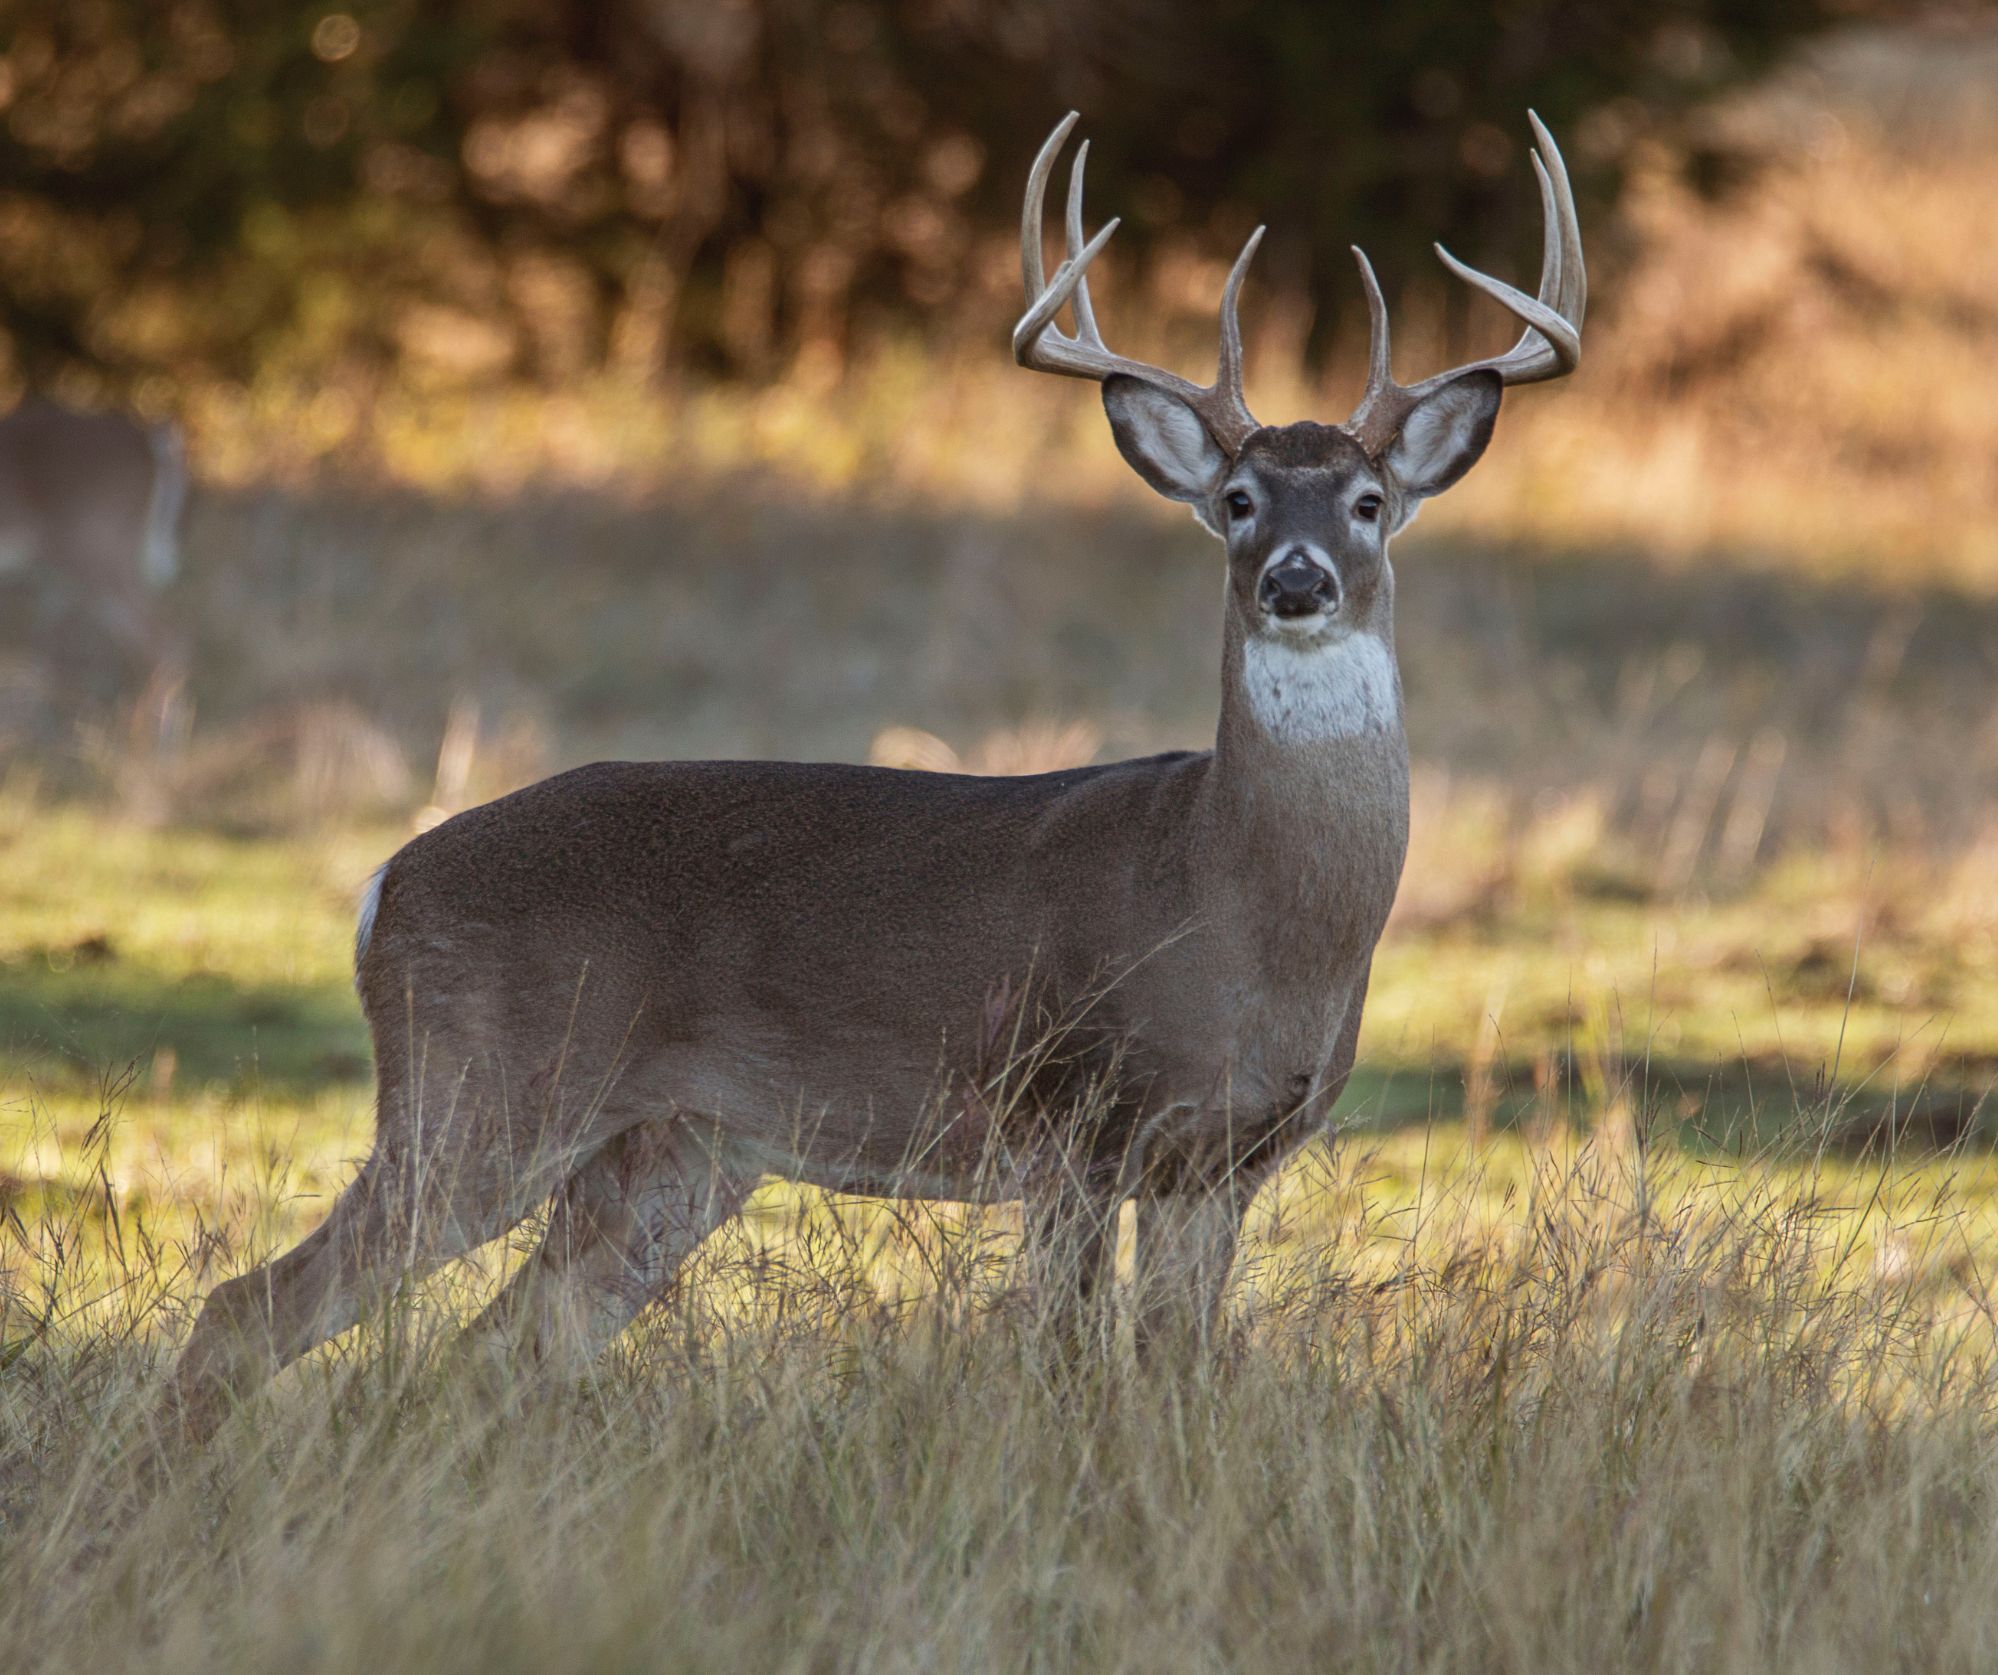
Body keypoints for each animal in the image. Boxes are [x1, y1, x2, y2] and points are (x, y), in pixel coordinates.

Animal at [171, 112, 1583, 1424]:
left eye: (1366, 502)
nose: (1297, 579)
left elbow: (1174, 1367)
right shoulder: (1067, 1116)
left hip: (675, 1147)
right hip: (486, 1081)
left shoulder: (1225, 1159)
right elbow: (1066, 1363)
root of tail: (382, 889)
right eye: (1237, 501)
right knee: (253, 1307)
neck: (1237, 902)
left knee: (502, 1346)